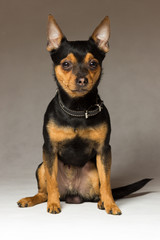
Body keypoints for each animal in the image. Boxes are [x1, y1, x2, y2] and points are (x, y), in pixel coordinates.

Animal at [17, 15, 151, 215]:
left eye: (93, 63)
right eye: (66, 64)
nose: (82, 79)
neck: (77, 109)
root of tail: (72, 195)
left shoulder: (104, 151)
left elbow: (106, 183)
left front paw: (111, 204)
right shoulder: (49, 149)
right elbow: (52, 182)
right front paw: (54, 205)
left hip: (94, 170)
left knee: (99, 190)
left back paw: (102, 202)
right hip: (41, 166)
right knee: (45, 191)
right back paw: (34, 199)